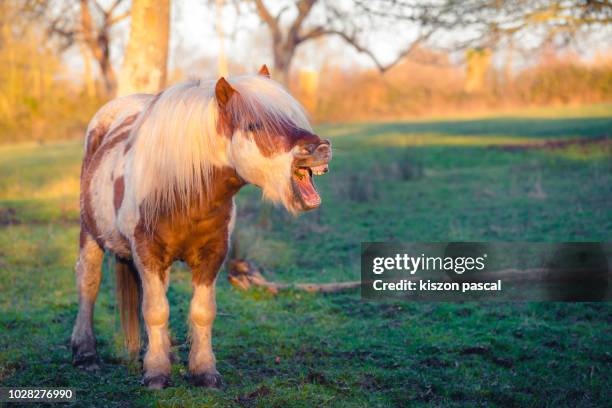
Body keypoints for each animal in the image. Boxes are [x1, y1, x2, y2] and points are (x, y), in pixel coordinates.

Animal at [70, 65, 334, 390]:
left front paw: (203, 371)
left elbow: (201, 312)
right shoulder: (147, 252)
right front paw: (156, 373)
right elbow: (155, 311)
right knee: (88, 282)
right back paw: (85, 354)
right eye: (254, 125)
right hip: (90, 233)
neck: (184, 192)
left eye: (293, 117)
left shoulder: (213, 254)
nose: (320, 149)